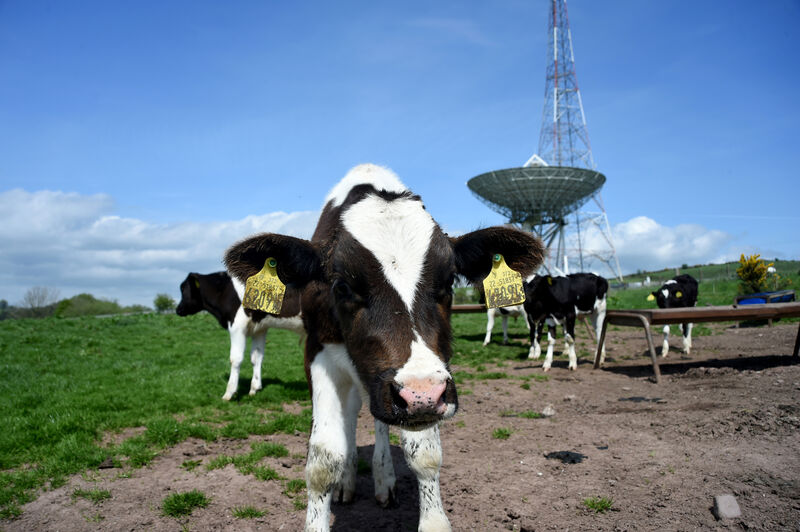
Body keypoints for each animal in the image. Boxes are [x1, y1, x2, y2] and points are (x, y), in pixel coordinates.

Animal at [175, 271, 305, 400]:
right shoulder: (259, 328)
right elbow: (256, 357)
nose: (178, 309)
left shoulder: (237, 326)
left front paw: (229, 393)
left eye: (184, 289)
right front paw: (254, 389)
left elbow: (235, 359)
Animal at [224, 164, 544, 532]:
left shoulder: (432, 375)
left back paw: (383, 480)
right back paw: (348, 481)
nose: (420, 395)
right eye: (342, 285)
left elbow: (425, 452)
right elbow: (323, 461)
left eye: (449, 280)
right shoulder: (318, 355)